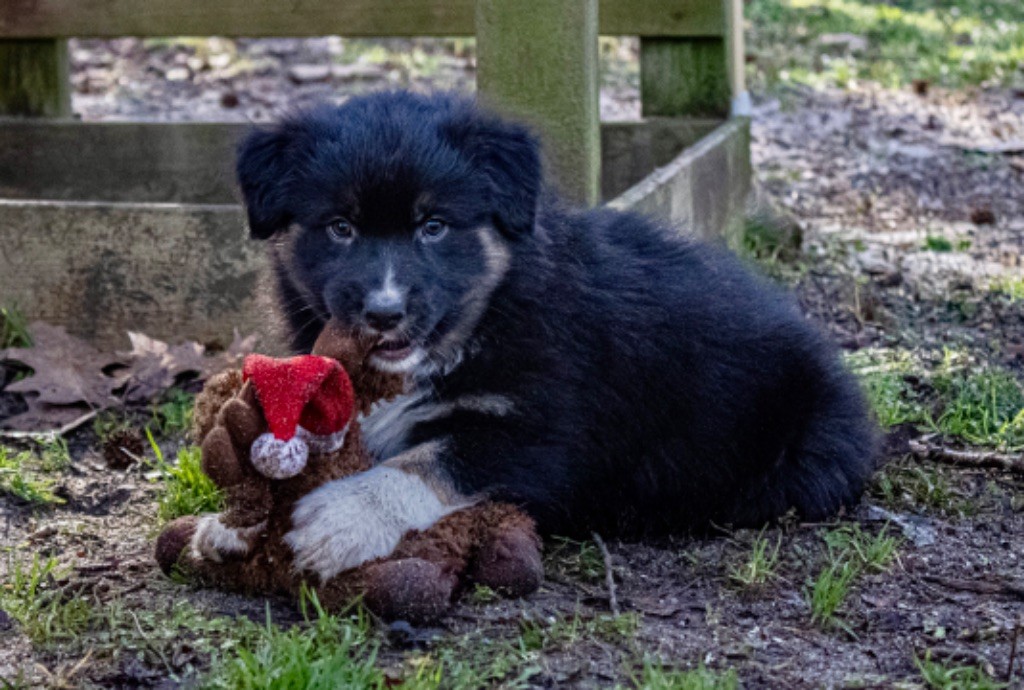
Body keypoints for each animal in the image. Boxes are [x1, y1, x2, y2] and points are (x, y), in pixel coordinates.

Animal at [234, 91, 880, 581]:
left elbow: (432, 460)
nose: (384, 313)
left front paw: (340, 518)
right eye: (340, 227)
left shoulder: (549, 430)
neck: (488, 316)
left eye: (434, 227)